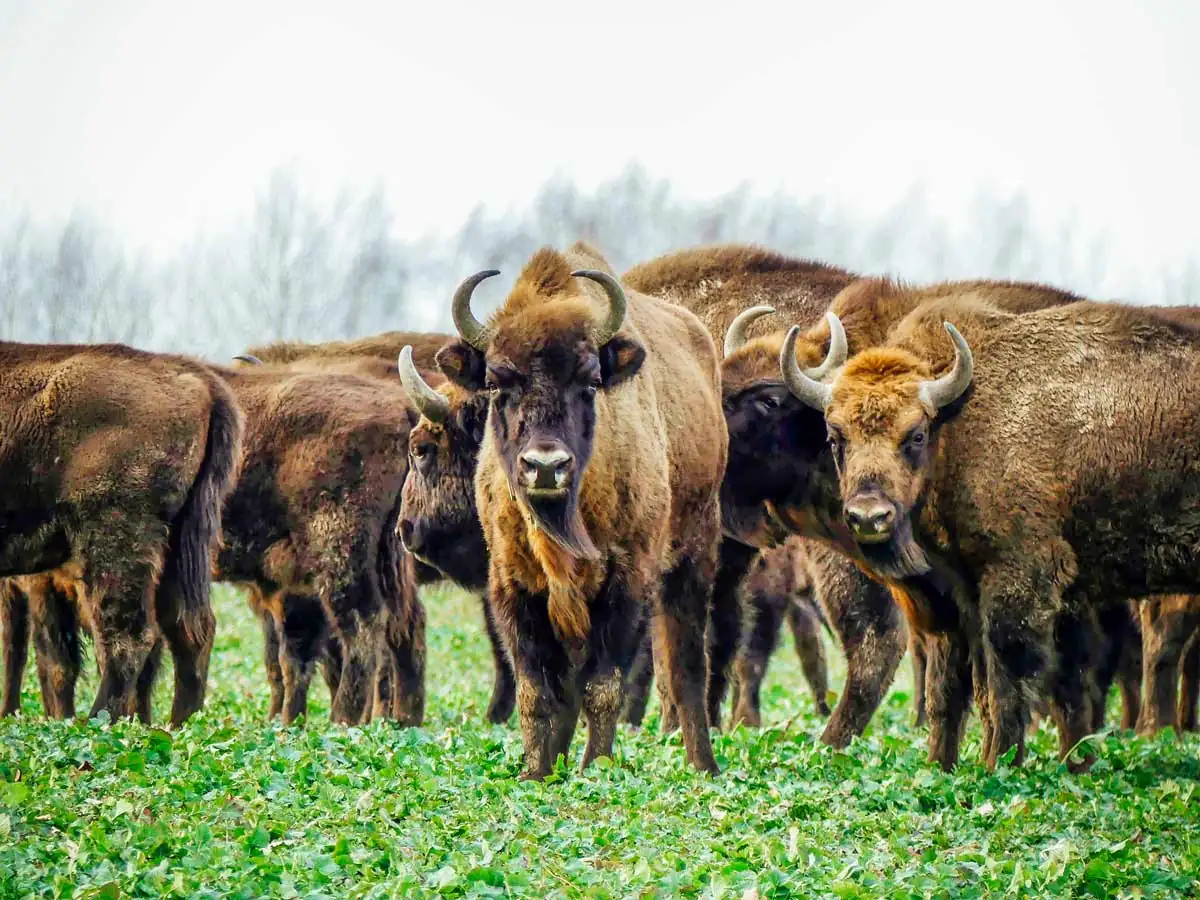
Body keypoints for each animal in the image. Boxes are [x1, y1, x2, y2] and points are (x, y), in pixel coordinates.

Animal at [0, 340, 241, 729]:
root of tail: (199, 378)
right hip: (180, 543)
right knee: (190, 630)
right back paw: (180, 726)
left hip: (115, 538)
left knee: (128, 636)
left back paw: (97, 725)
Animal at [434, 243, 724, 777]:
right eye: (495, 383)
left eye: (590, 382)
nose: (545, 466)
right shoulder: (514, 585)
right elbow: (537, 691)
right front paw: (536, 772)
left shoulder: (626, 581)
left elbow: (602, 686)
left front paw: (595, 770)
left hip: (695, 556)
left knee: (689, 666)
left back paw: (704, 768)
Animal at [782, 292, 1200, 772]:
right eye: (836, 438)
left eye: (916, 435)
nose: (870, 517)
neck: (961, 422)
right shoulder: (966, 596)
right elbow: (962, 687)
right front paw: (945, 766)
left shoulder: (1018, 579)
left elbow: (1007, 682)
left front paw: (997, 765)